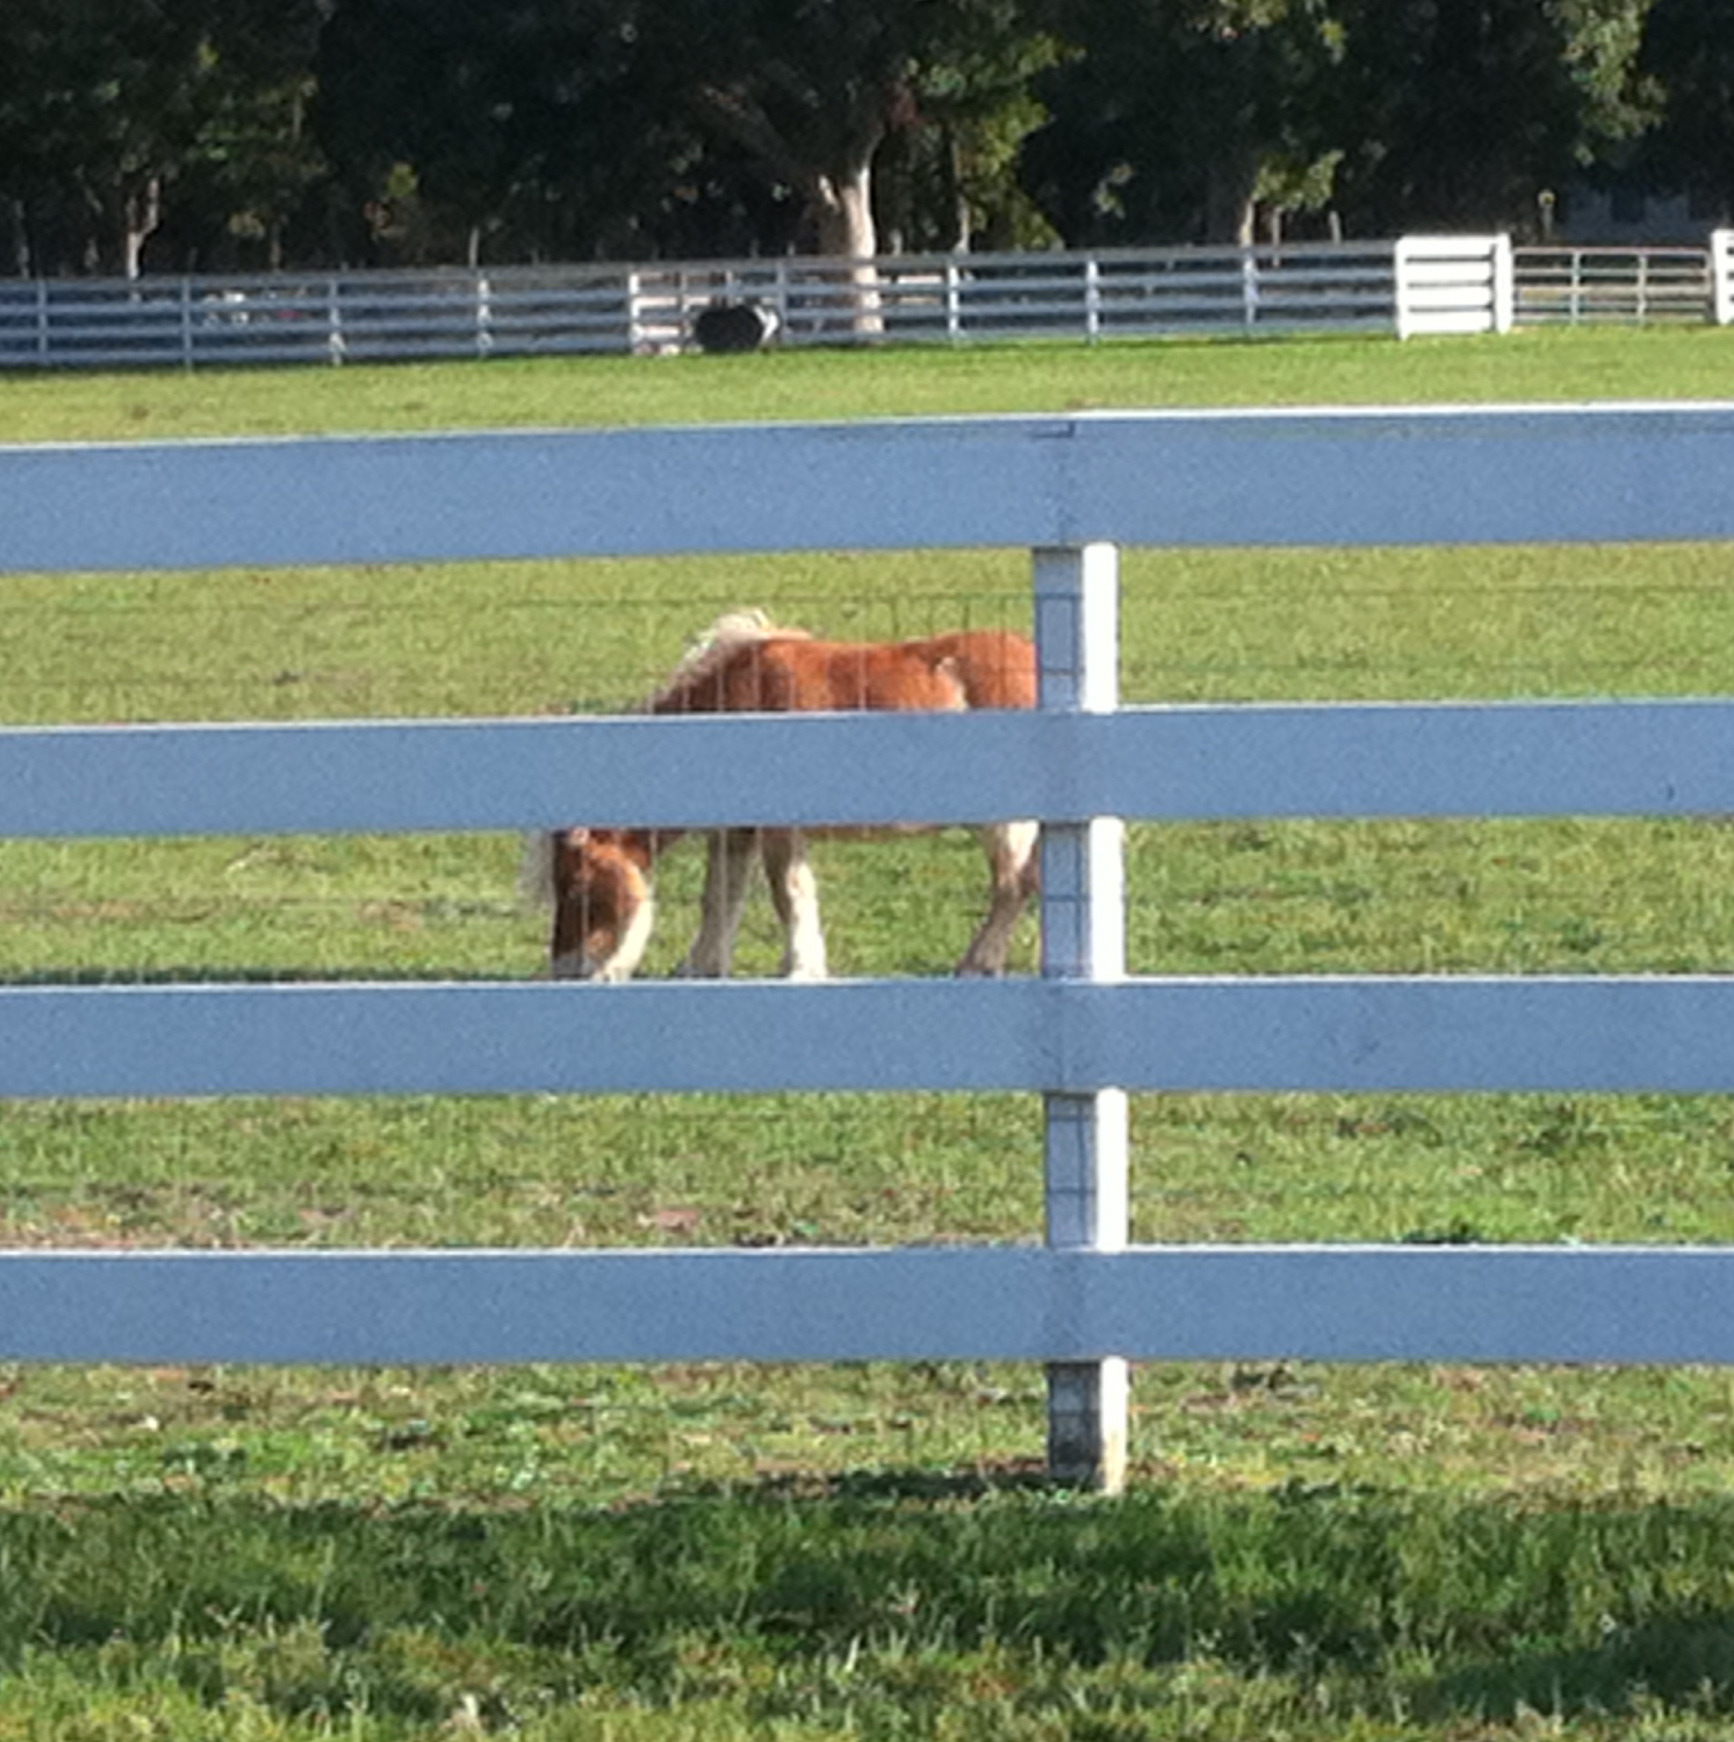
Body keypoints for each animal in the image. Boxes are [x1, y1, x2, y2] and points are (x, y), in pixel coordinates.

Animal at [523, 612, 1039, 981]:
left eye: (577, 886)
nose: (564, 971)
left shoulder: (777, 829)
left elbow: (789, 894)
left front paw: (800, 970)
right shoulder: (735, 831)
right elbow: (721, 897)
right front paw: (698, 968)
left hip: (1006, 825)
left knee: (1014, 886)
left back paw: (977, 964)